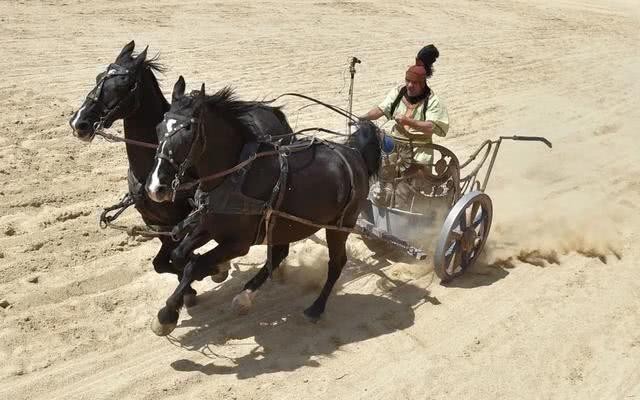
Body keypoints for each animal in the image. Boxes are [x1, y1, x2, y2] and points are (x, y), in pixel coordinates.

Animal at [145, 76, 380, 336]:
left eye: (188, 131)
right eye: (158, 128)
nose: (155, 187)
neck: (234, 176)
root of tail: (355, 154)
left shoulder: (239, 243)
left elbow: (194, 266)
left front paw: (167, 315)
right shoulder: (209, 225)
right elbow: (179, 255)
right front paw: (216, 271)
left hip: (339, 226)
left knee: (336, 263)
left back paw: (315, 308)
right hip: (286, 224)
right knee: (279, 253)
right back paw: (246, 295)